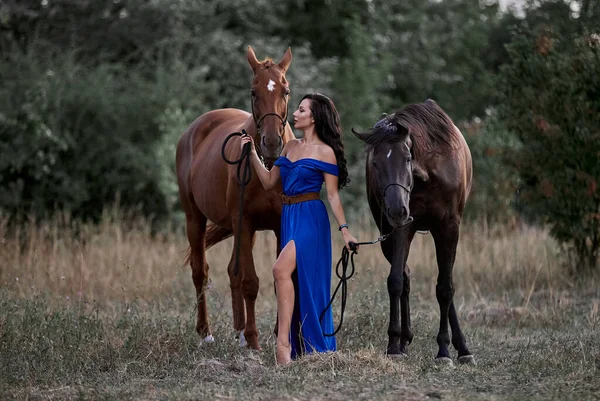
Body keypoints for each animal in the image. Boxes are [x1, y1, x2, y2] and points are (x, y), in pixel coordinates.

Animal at [175, 46, 294, 346]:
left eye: (286, 90)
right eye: (254, 91)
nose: (271, 143)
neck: (267, 166)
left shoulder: (278, 224)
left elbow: (279, 277)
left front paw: (280, 333)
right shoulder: (245, 221)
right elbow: (250, 282)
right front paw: (253, 339)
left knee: (232, 271)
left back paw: (238, 330)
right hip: (196, 219)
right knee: (200, 271)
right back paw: (207, 332)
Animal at [354, 99, 476, 362]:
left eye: (408, 158)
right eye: (375, 163)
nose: (396, 210)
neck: (429, 174)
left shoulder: (449, 227)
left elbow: (445, 288)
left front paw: (444, 350)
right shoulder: (402, 228)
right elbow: (396, 281)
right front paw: (393, 344)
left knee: (446, 284)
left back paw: (462, 347)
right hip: (388, 235)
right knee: (406, 276)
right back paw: (404, 340)